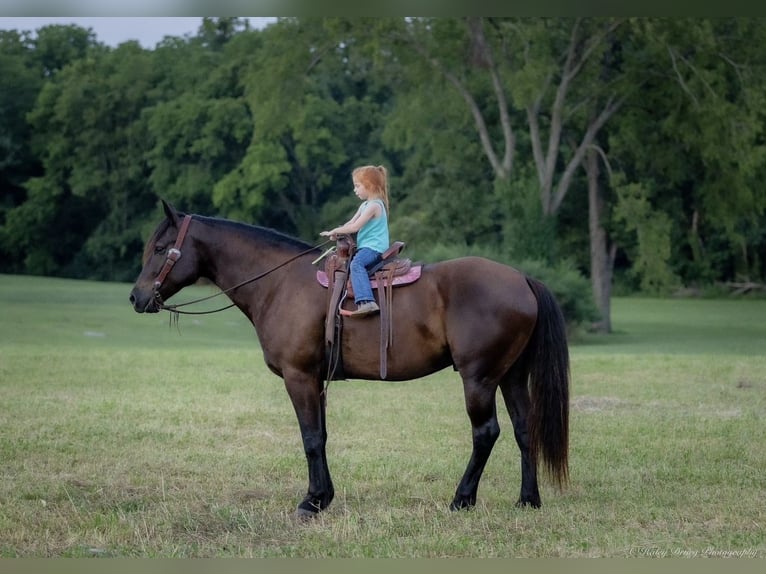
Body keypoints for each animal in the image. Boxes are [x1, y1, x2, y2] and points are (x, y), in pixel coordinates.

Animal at [130, 201, 568, 516]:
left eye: (159, 248)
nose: (136, 297)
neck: (281, 284)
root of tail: (522, 279)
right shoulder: (315, 381)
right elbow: (321, 436)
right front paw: (323, 496)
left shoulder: (299, 377)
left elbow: (310, 438)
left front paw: (311, 502)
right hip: (510, 376)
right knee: (524, 430)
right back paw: (528, 500)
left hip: (479, 378)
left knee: (486, 433)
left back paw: (462, 499)